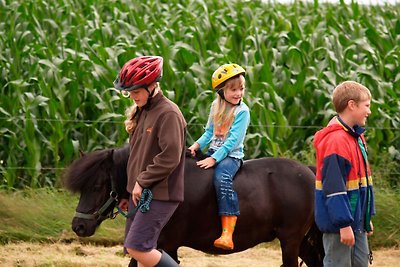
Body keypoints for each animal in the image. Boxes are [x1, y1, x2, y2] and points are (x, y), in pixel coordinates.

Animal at [63, 147, 324, 267]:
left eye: (97, 185)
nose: (79, 226)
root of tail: (309, 172)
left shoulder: (167, 245)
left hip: (290, 241)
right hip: (302, 243)